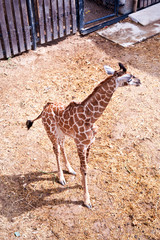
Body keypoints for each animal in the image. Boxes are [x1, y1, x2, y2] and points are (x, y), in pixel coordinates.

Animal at [26, 62, 140, 208]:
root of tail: (44, 108)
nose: (139, 81)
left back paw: (70, 169)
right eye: (130, 78)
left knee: (61, 146)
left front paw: (82, 185)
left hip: (62, 132)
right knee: (56, 150)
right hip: (50, 131)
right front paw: (87, 200)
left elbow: (86, 166)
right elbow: (83, 168)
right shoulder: (80, 144)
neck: (90, 118)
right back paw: (61, 178)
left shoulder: (90, 143)